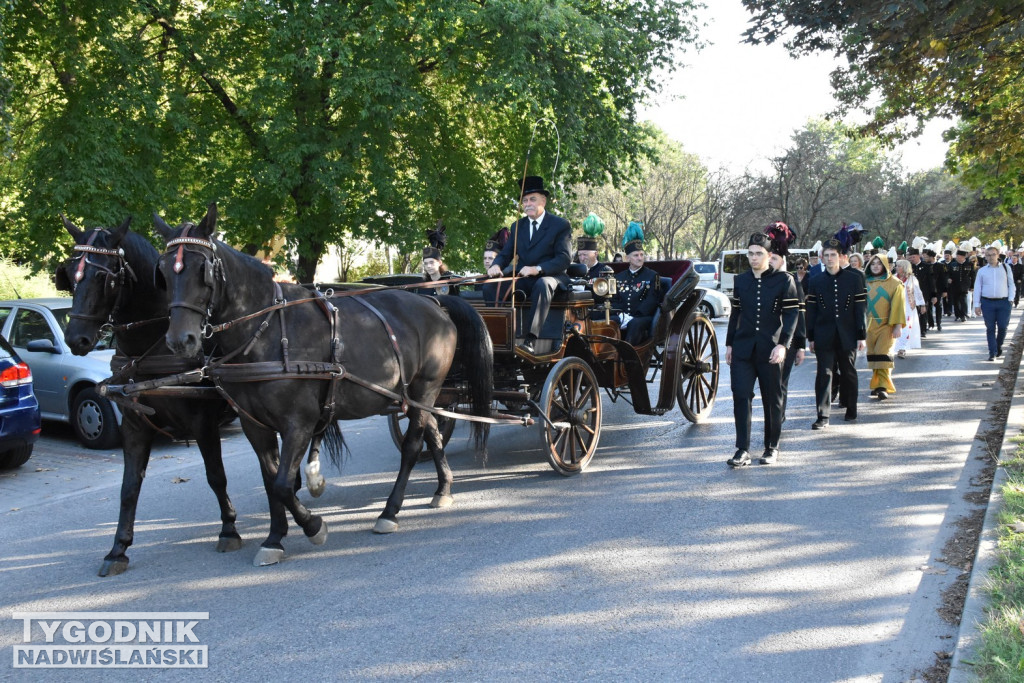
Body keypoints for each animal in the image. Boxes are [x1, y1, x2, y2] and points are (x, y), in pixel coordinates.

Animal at [59, 215, 251, 577]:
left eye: (105, 276)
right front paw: (118, 549)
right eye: (71, 272)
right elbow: (129, 488)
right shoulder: (135, 427)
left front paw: (229, 528)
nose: (76, 338)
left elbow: (216, 476)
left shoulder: (204, 425)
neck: (151, 348)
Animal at [151, 202, 491, 565]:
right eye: (164, 272)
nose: (180, 340)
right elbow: (272, 482)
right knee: (434, 431)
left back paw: (390, 511)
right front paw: (274, 539)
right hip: (418, 395)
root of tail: (435, 303)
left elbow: (284, 484)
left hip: (426, 387)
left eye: (203, 268)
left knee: (413, 445)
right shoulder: (254, 424)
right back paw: (443, 488)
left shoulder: (299, 422)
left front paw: (314, 526)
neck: (266, 329)